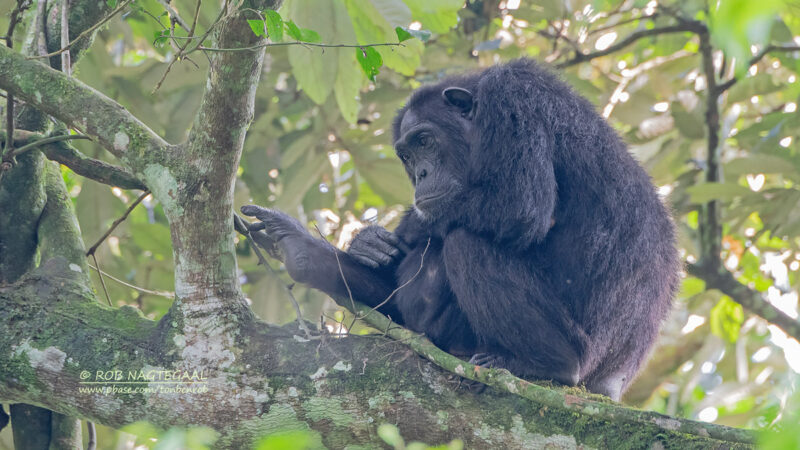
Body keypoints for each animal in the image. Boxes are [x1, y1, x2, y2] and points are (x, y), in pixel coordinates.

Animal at [241, 57, 680, 400]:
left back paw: (547, 363)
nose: (420, 174)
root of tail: (612, 385)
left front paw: (404, 229)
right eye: (406, 154)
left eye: (425, 141)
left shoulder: (515, 98)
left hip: (585, 357)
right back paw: (302, 251)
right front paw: (363, 244)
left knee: (464, 245)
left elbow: (520, 205)